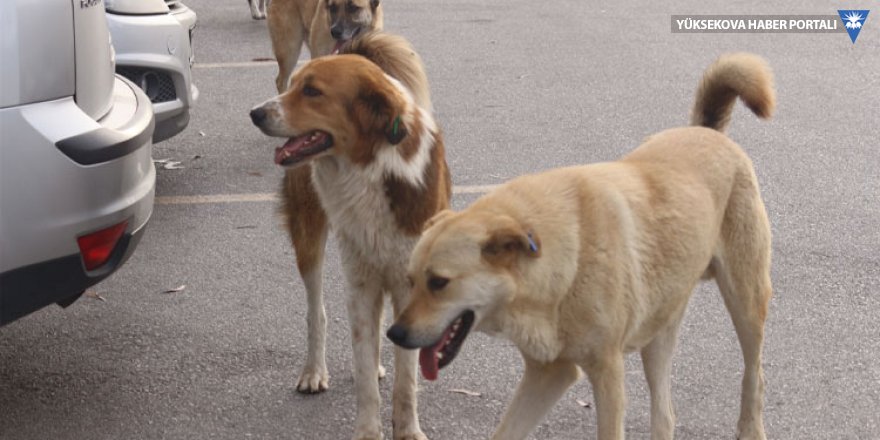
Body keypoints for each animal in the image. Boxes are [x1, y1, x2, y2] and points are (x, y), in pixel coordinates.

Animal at [251, 31, 450, 440]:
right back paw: (314, 371)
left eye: (312, 91)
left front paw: (408, 429)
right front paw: (368, 431)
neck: (369, 168)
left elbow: (406, 377)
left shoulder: (407, 284)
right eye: (293, 85)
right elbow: (363, 373)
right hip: (310, 240)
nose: (256, 113)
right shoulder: (359, 283)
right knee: (316, 312)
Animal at [388, 52, 772, 440]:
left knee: (754, 373)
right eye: (410, 281)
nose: (394, 334)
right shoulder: (549, 373)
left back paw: (751, 427)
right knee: (665, 414)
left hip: (746, 303)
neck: (562, 259)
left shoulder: (607, 374)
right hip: (659, 332)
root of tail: (707, 131)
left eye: (439, 283)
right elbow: (505, 431)